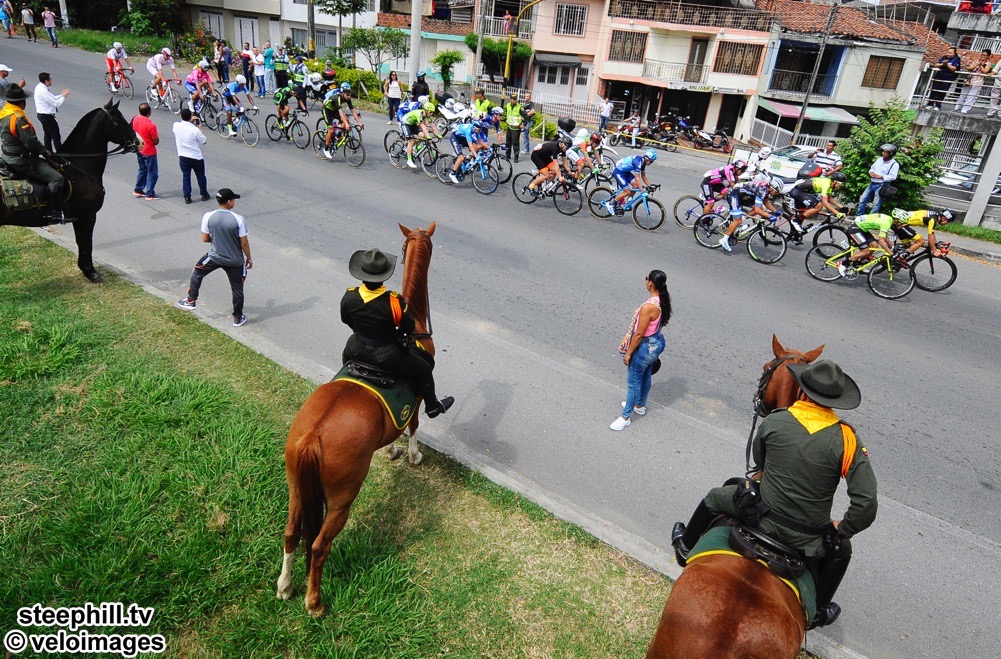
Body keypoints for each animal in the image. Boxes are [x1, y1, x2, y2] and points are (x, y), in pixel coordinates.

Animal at [0, 99, 138, 283]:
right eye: (120, 121)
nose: (137, 141)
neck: (79, 166)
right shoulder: (88, 216)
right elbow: (87, 243)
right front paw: (92, 272)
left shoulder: (79, 217)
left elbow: (81, 242)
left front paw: (85, 269)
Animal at [276, 221, 437, 617]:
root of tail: (312, 436)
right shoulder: (420, 391)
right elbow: (414, 425)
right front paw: (411, 455)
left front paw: (392, 451)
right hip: (341, 498)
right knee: (318, 545)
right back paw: (314, 602)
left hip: (296, 486)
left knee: (291, 534)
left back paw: (285, 586)